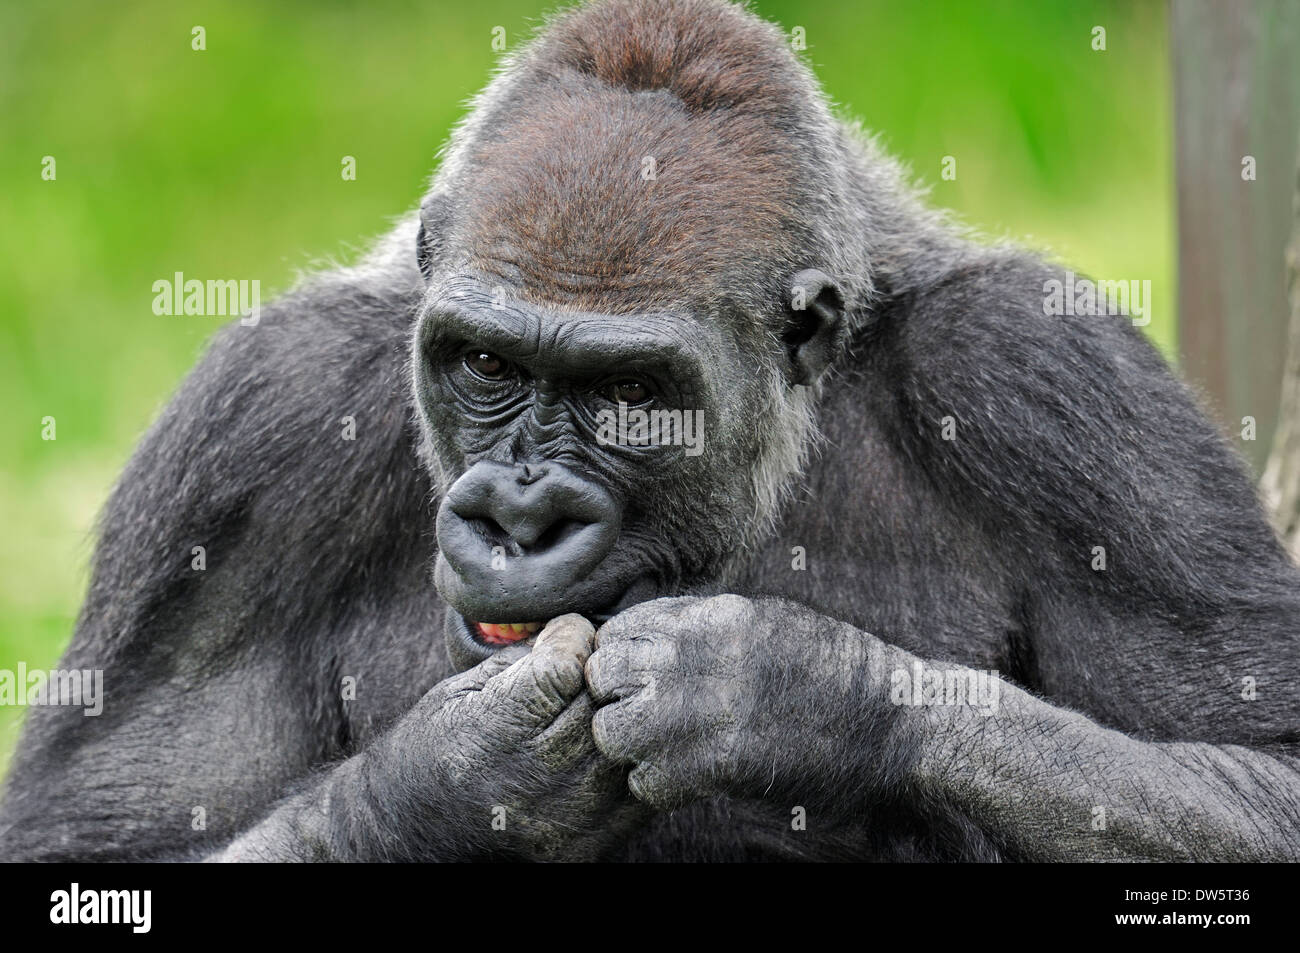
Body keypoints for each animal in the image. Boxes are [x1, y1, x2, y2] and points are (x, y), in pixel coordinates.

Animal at [2, 0, 1300, 863]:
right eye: (486, 364)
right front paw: (451, 780)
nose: (519, 518)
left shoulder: (1052, 383)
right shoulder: (256, 430)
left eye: (631, 390)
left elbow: (1263, 768)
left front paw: (790, 695)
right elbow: (92, 839)